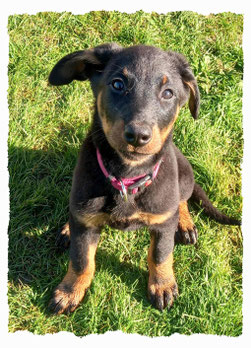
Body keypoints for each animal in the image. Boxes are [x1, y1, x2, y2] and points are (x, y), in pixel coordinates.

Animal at [48, 42, 240, 314]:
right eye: (118, 84)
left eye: (168, 93)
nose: (138, 135)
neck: (127, 178)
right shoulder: (85, 222)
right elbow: (81, 259)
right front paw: (69, 291)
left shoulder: (162, 225)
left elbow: (160, 254)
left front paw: (162, 285)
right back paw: (67, 227)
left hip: (184, 177)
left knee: (181, 201)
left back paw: (185, 223)